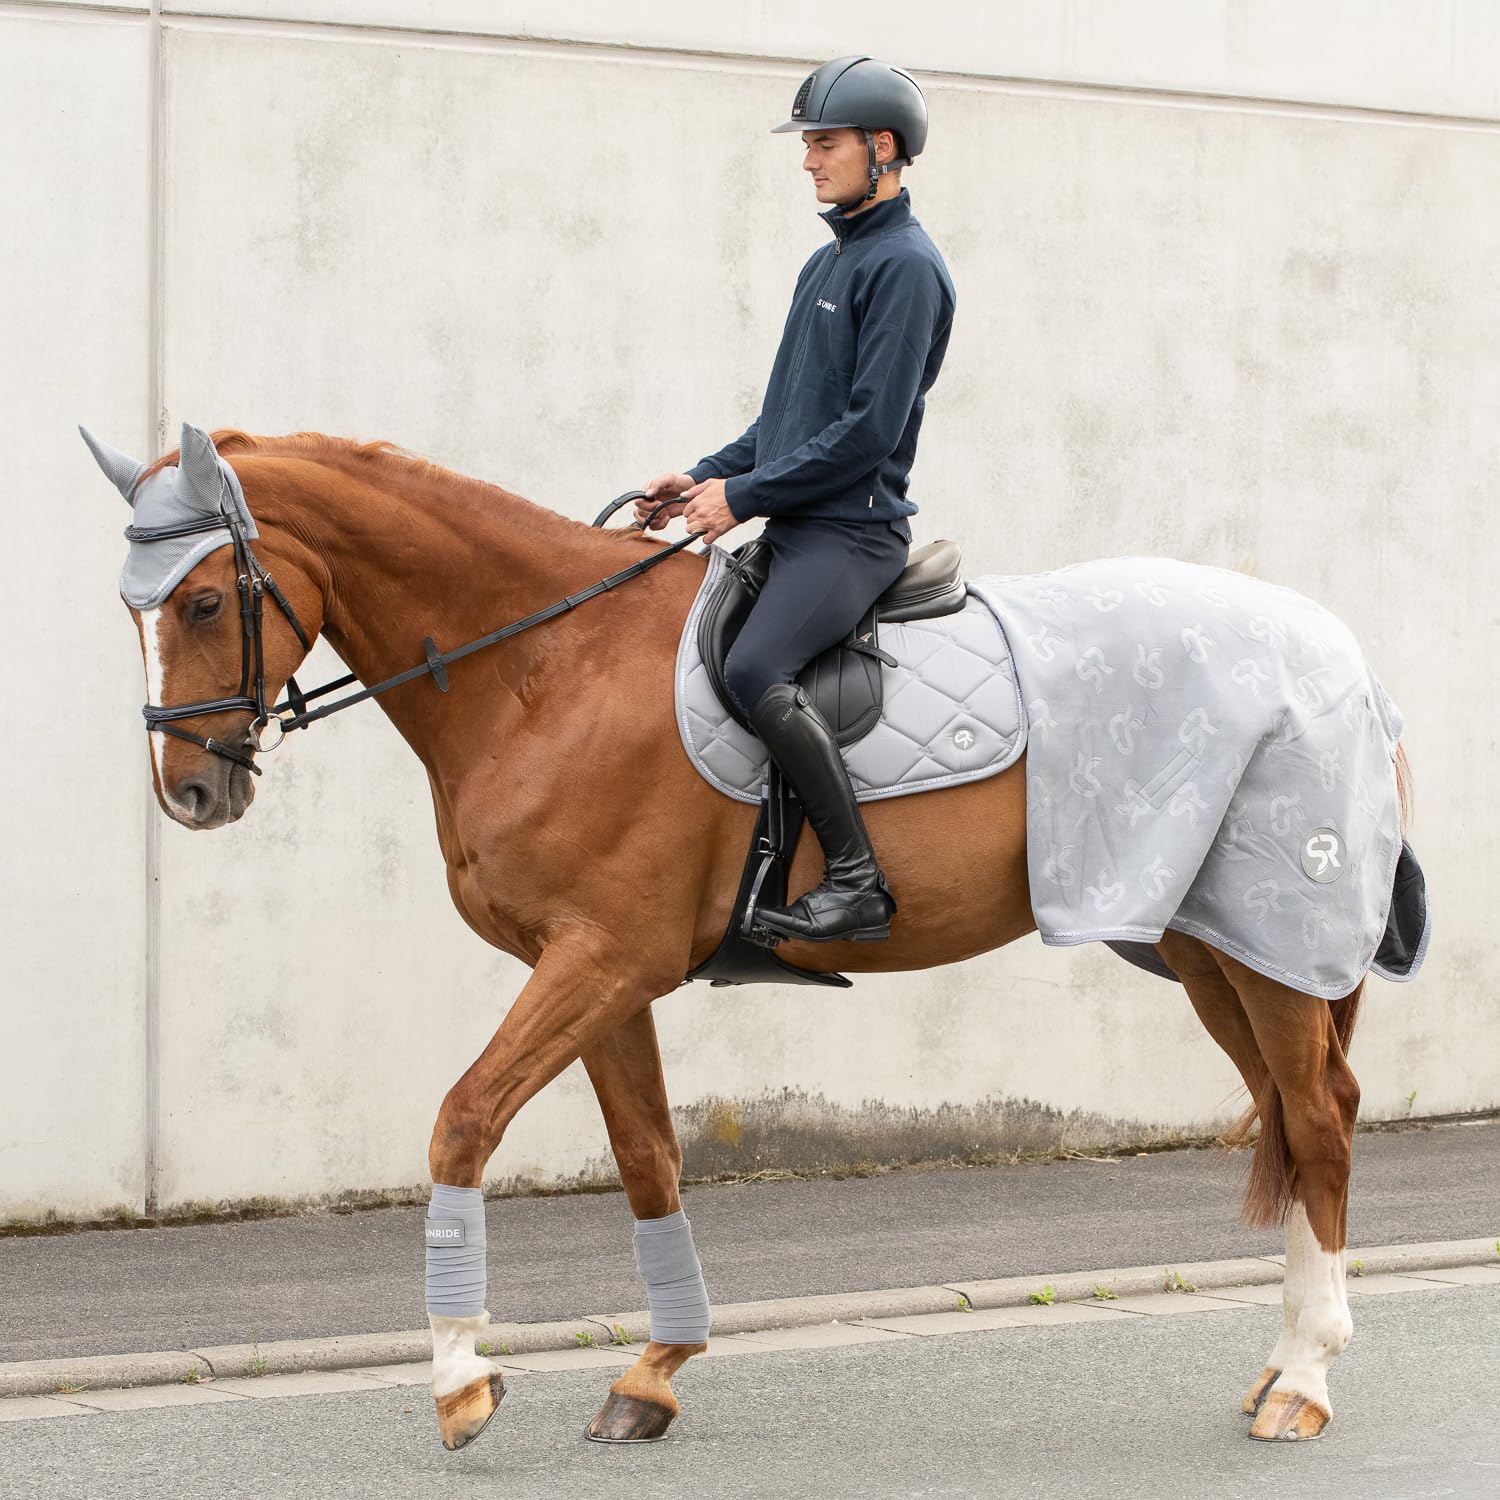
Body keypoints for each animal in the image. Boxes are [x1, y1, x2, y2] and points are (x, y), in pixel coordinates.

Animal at [89, 423, 1401, 1451]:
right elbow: (647, 1157)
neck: (545, 664)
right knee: (1292, 1115)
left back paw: (1308, 1380)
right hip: (1211, 947)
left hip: (1271, 941)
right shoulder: (603, 971)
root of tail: (1340, 655)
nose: (190, 794)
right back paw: (1279, 1368)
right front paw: (652, 1375)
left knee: (1320, 1117)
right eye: (133, 609)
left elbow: (463, 1118)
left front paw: (461, 1383)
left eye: (203, 599)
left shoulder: (602, 958)